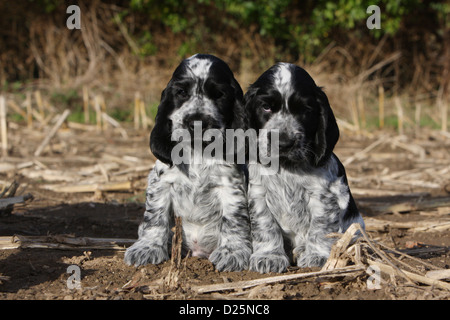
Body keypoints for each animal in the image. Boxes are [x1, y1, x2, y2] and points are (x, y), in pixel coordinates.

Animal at [125, 53, 251, 272]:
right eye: (181, 92)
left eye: (219, 94)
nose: (196, 122)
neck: (198, 151)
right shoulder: (161, 183)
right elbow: (155, 217)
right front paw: (147, 248)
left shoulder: (231, 185)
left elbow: (234, 218)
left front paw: (232, 252)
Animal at [244, 62, 364, 272]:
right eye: (266, 107)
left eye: (304, 110)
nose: (284, 142)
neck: (286, 167)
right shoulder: (258, 193)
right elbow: (265, 225)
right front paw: (268, 256)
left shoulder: (325, 195)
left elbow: (321, 226)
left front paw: (317, 256)